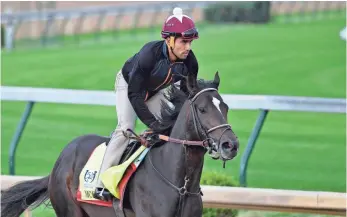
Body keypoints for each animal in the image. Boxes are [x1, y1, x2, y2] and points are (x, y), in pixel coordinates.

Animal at [1, 71, 239, 217]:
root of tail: (58, 163)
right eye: (202, 109)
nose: (231, 144)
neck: (180, 185)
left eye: (225, 107)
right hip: (70, 210)